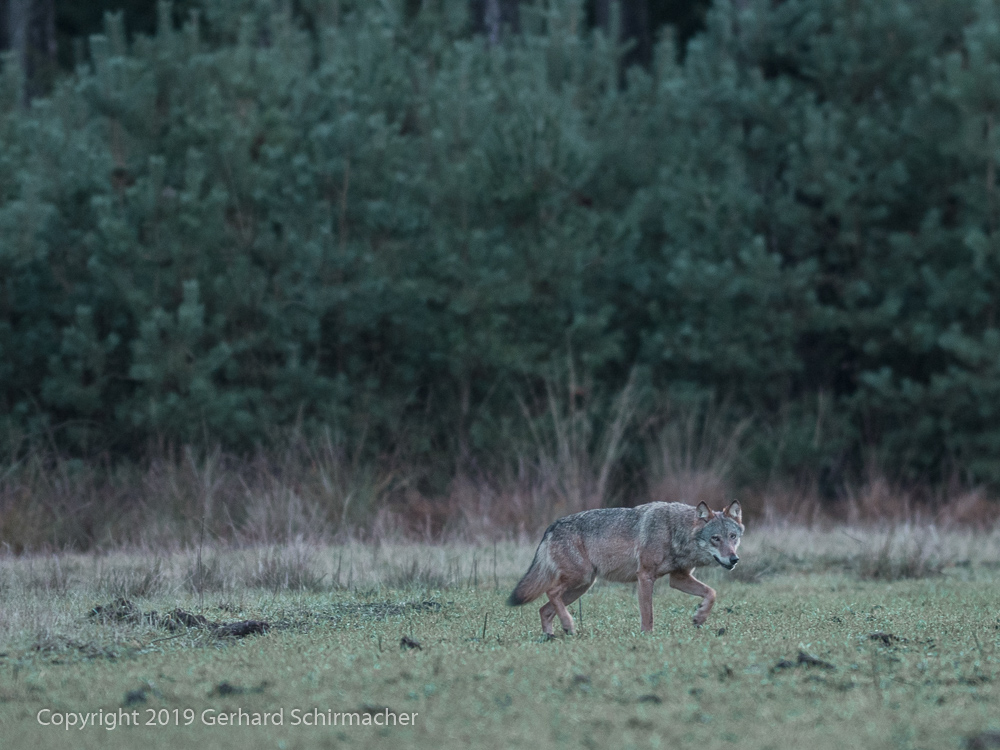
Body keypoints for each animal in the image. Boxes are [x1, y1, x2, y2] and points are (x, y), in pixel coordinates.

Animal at [508, 502, 744, 636]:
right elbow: (648, 614)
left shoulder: (678, 578)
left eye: (733, 537)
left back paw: (553, 636)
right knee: (551, 592)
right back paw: (568, 626)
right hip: (580, 580)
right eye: (716, 538)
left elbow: (711, 593)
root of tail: (551, 526)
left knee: (544, 609)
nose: (734, 559)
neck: (675, 532)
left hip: (582, 586)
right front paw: (647, 636)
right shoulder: (645, 576)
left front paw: (700, 617)